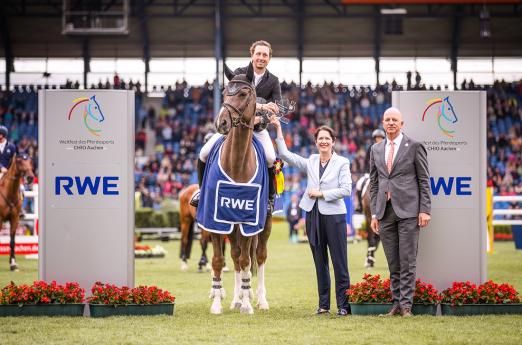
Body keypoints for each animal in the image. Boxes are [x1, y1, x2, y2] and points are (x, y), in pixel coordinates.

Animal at [204, 63, 272, 314]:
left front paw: (247, 304)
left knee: (258, 257)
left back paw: (259, 299)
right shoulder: (214, 219)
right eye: (224, 93)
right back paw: (235, 298)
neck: (236, 164)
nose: (221, 123)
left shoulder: (247, 222)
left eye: (243, 93)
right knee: (234, 256)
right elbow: (219, 260)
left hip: (264, 224)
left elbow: (246, 261)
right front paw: (217, 302)